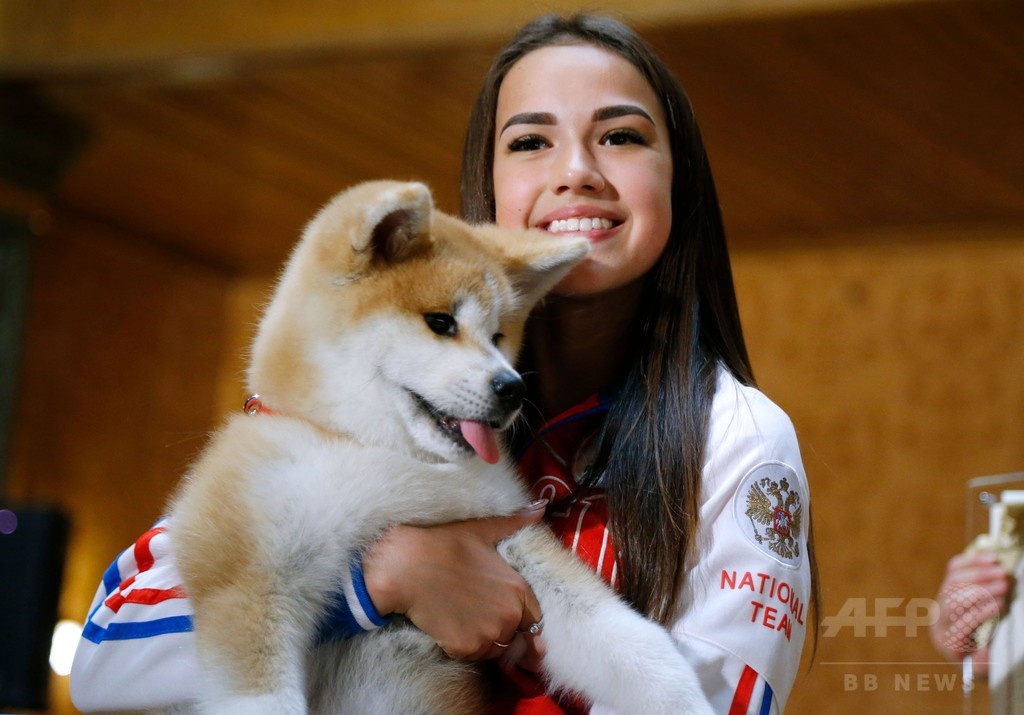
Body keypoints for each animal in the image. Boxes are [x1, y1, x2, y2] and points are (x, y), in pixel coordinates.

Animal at [167, 179, 712, 712]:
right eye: (441, 323)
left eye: (498, 336)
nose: (513, 388)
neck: (381, 452)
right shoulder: (249, 579)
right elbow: (260, 694)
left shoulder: (509, 537)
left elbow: (640, 649)